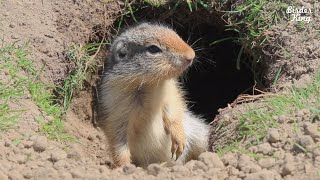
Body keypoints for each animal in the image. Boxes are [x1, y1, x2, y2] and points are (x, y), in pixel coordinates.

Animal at [96, 23, 209, 168]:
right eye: (153, 48)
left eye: (175, 33)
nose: (191, 55)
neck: (150, 85)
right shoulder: (115, 111)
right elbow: (118, 143)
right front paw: (124, 166)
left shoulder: (170, 92)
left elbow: (174, 110)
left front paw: (179, 139)